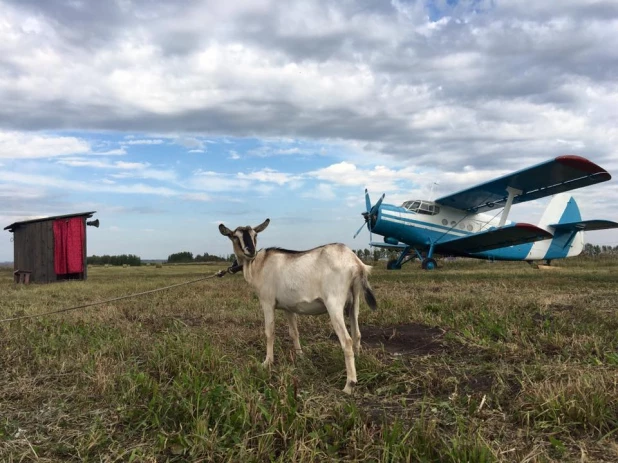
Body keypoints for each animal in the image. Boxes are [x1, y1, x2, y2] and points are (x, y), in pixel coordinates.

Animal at [219, 219, 378, 394]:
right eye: (235, 236)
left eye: (255, 235)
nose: (250, 251)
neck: (258, 264)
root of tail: (356, 263)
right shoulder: (288, 308)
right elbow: (293, 332)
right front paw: (300, 356)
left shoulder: (267, 302)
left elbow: (269, 332)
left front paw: (267, 362)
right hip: (354, 301)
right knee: (357, 334)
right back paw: (359, 363)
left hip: (334, 304)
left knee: (347, 340)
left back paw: (349, 385)